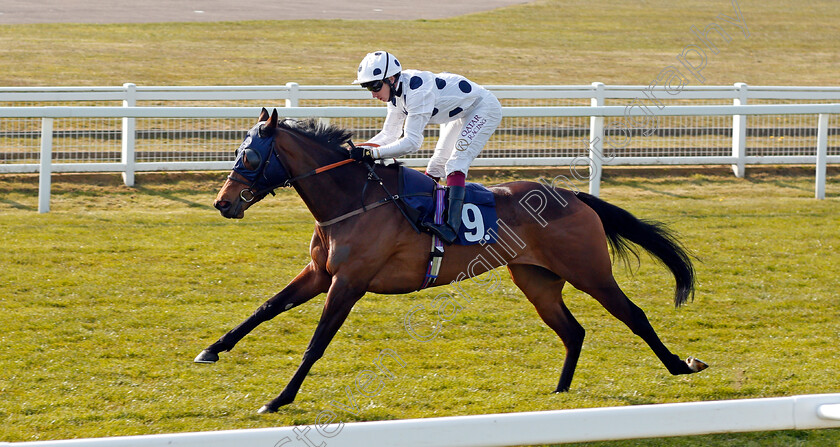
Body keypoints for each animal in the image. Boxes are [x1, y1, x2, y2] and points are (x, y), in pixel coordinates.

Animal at [199, 107, 708, 412]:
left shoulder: (349, 281)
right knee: (573, 330)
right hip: (537, 279)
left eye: (251, 155)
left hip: (590, 272)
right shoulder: (320, 274)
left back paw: (680, 365)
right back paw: (560, 390)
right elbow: (265, 308)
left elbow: (317, 342)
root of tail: (574, 196)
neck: (352, 200)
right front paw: (212, 350)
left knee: (634, 315)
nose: (223, 203)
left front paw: (279, 398)